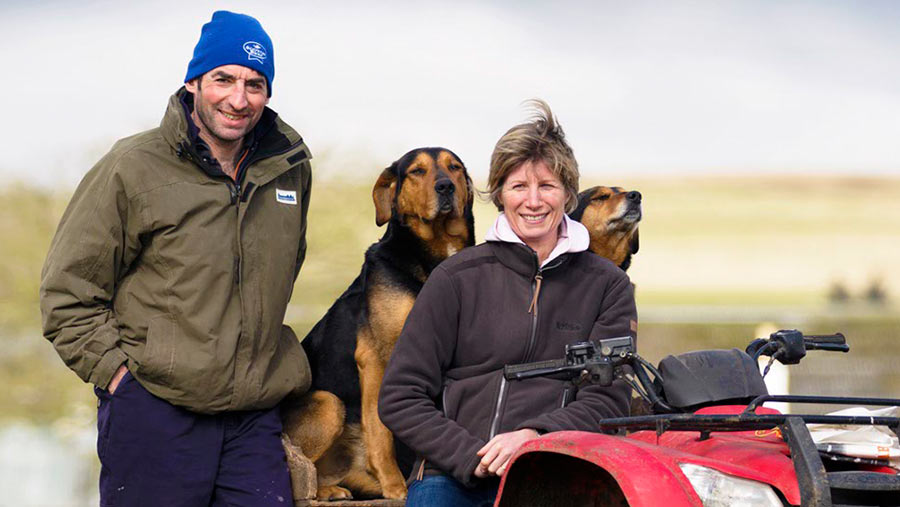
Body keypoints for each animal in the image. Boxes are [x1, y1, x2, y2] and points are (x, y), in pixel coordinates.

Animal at [284, 146, 478, 500]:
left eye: (454, 167)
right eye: (417, 171)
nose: (446, 186)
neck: (433, 254)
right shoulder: (378, 357)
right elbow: (381, 427)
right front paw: (395, 486)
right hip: (329, 403)